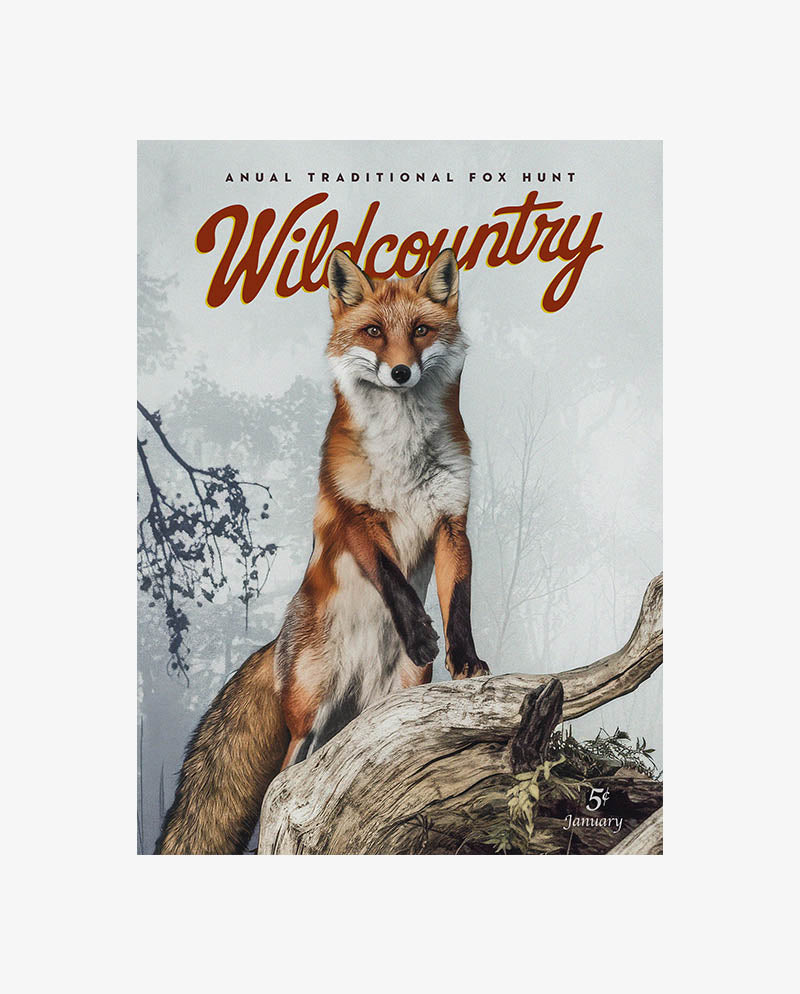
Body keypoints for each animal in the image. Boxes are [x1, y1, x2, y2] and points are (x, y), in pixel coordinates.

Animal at [156, 247, 489, 854]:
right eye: (375, 332)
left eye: (421, 331)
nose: (400, 372)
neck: (403, 457)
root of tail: (276, 645)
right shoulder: (352, 517)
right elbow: (393, 579)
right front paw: (420, 633)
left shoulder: (453, 523)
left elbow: (460, 603)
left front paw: (464, 658)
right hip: (307, 724)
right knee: (282, 794)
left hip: (382, 715)